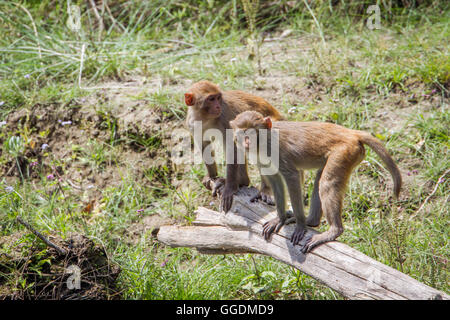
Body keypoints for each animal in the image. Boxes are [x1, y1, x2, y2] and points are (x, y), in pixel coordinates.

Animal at [185, 80, 284, 211]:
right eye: (211, 99)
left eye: (218, 98)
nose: (218, 106)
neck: (205, 118)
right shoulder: (192, 123)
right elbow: (204, 145)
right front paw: (211, 176)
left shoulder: (225, 117)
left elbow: (233, 148)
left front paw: (230, 188)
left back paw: (249, 184)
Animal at [230, 111, 402, 254]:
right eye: (242, 133)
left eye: (252, 133)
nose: (247, 143)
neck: (263, 143)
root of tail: (350, 133)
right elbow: (275, 180)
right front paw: (280, 218)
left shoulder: (277, 151)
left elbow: (292, 178)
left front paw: (299, 225)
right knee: (320, 178)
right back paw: (311, 221)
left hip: (344, 152)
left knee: (327, 183)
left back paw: (333, 230)